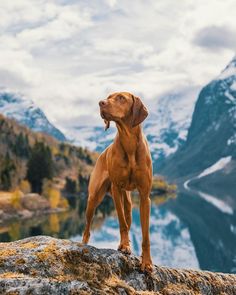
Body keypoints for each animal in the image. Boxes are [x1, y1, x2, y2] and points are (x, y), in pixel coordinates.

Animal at [82, 92, 153, 272]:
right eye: (108, 97)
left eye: (121, 98)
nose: (101, 103)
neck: (129, 142)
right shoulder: (115, 189)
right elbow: (122, 223)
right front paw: (125, 246)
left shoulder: (144, 196)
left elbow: (145, 235)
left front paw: (147, 262)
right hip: (93, 199)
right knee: (87, 229)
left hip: (128, 201)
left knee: (128, 216)